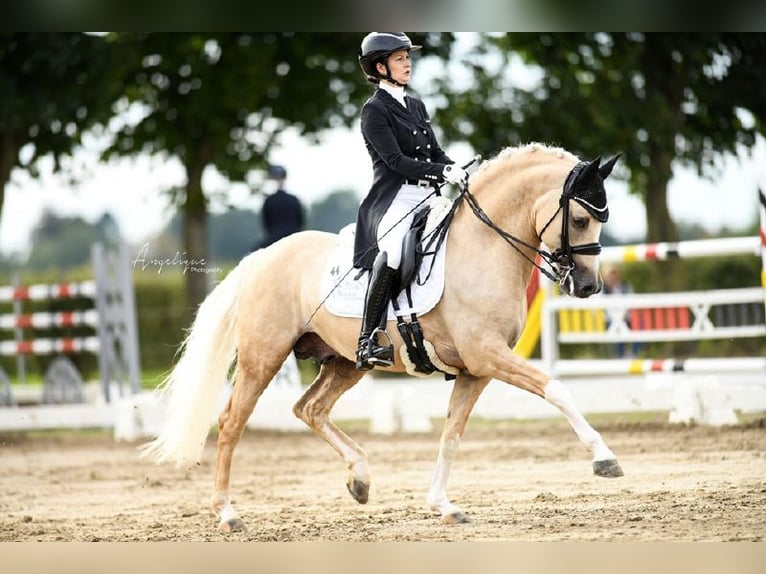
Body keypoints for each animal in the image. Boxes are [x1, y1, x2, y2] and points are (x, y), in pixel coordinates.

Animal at [142, 142, 624, 532]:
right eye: (580, 218)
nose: (587, 287)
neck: (483, 246)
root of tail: (262, 257)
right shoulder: (487, 355)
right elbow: (556, 388)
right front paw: (604, 458)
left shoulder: (476, 370)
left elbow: (451, 435)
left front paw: (443, 505)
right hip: (263, 358)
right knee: (231, 423)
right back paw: (227, 513)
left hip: (343, 362)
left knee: (310, 409)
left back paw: (359, 478)